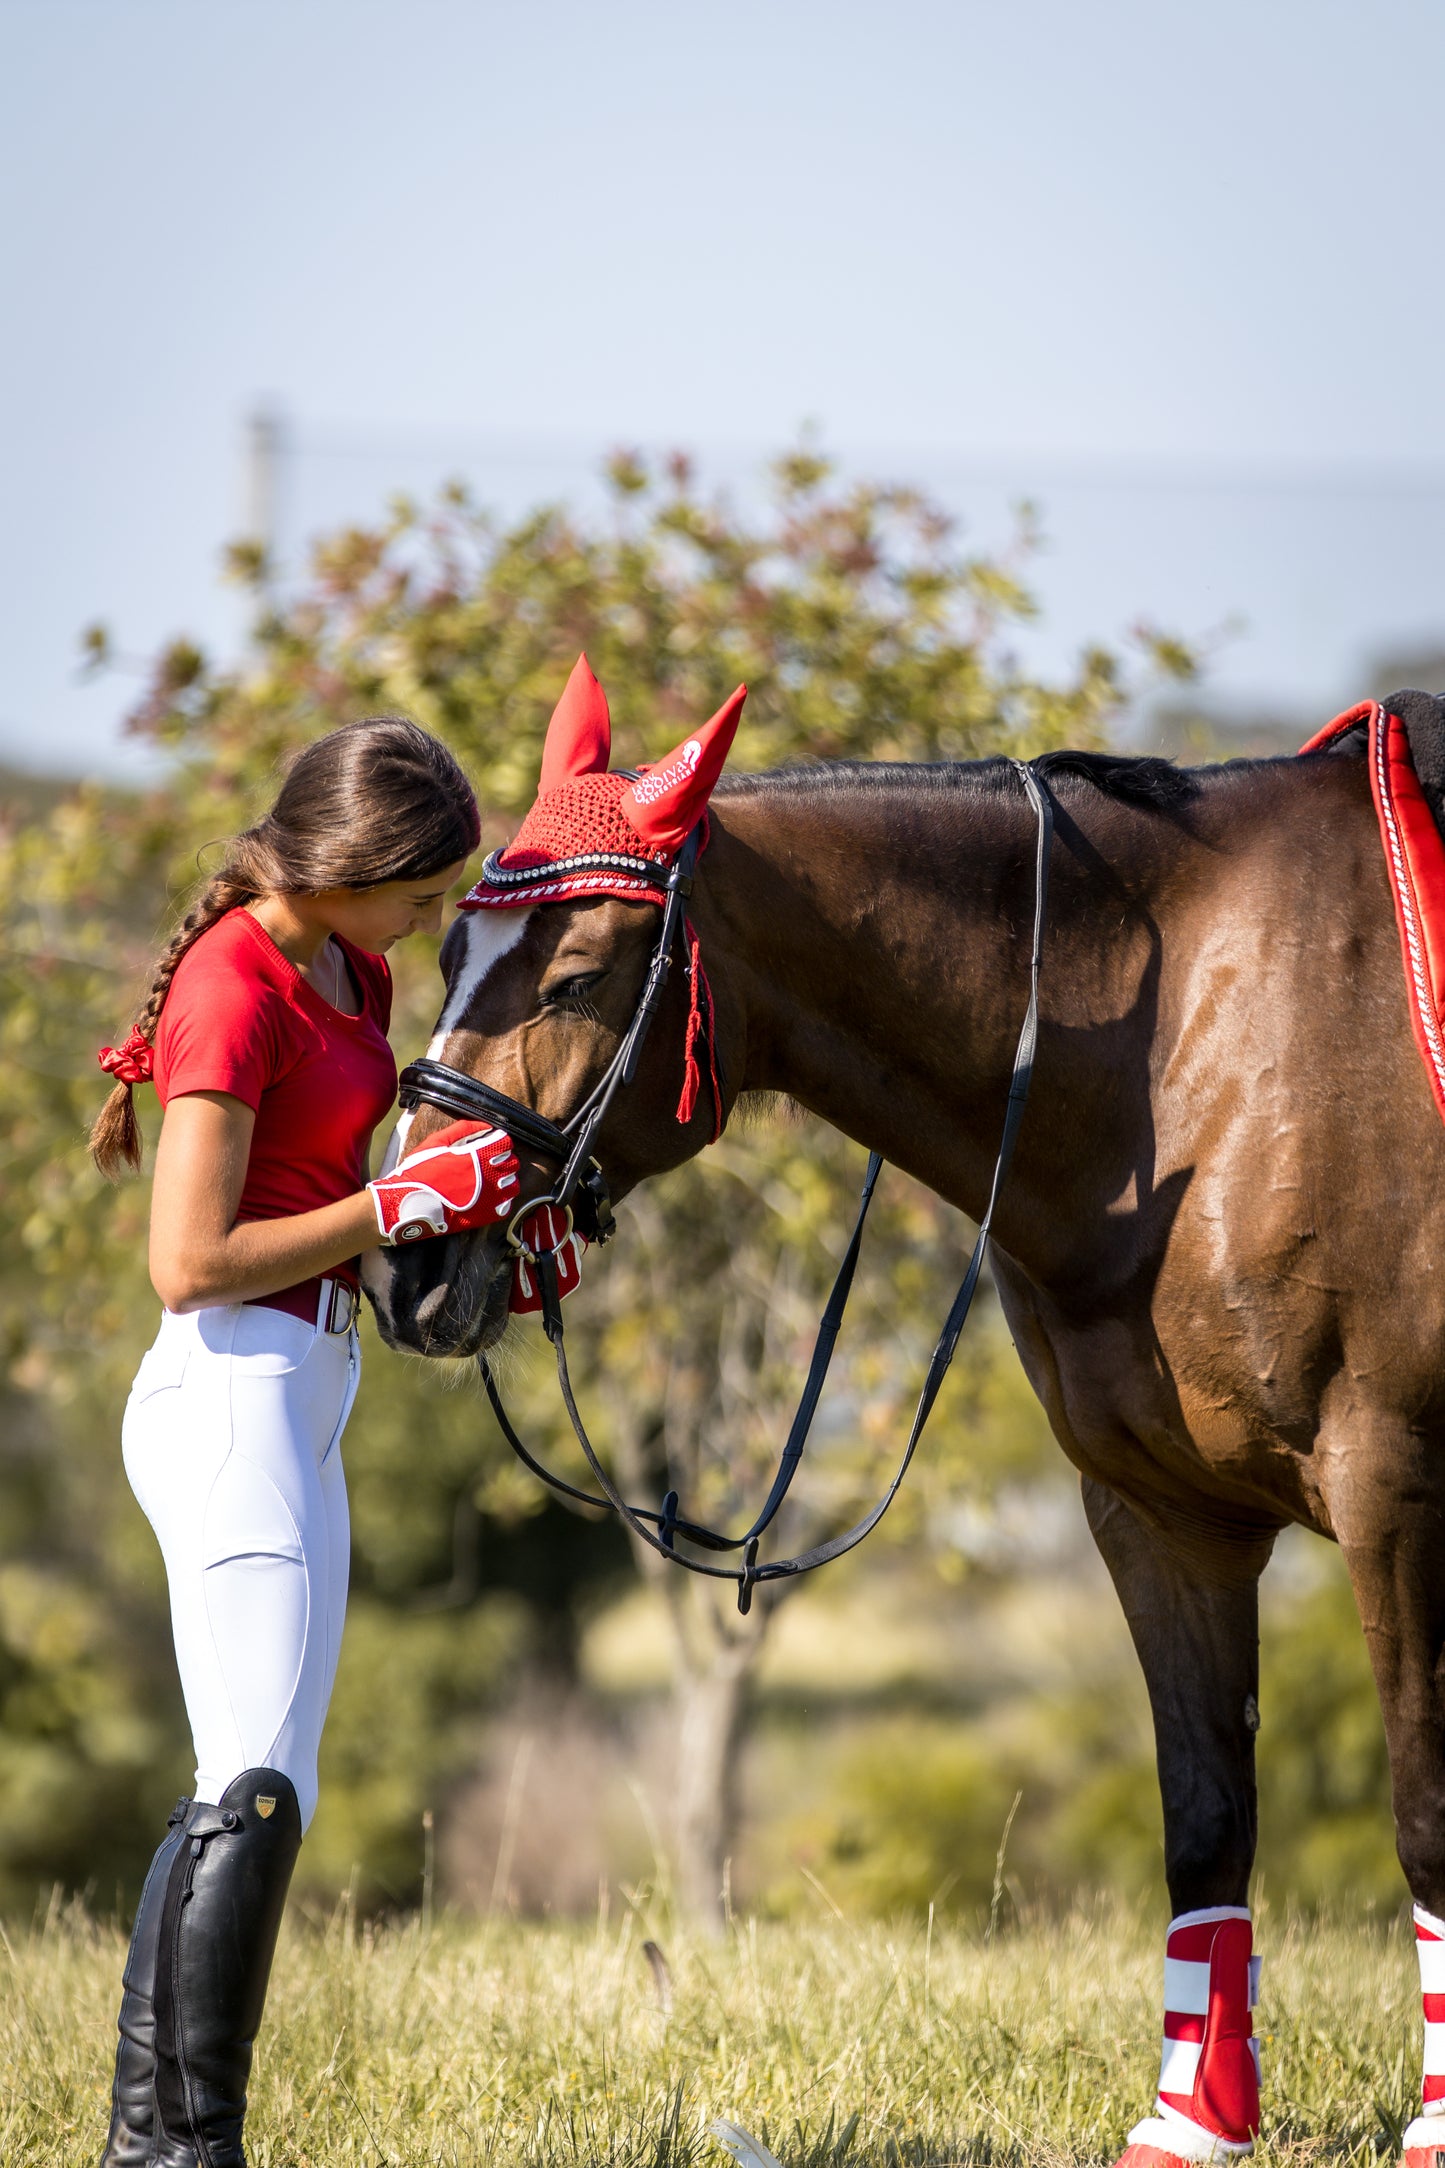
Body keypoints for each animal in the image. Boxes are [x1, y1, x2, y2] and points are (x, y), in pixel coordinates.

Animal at [359, 659, 1445, 2168]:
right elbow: (1204, 1817)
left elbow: (1424, 1814)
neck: (1195, 1058)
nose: (407, 1262)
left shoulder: (1393, 1494)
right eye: (451, 953)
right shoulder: (1162, 1518)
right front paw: (1191, 2126)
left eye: (574, 976)